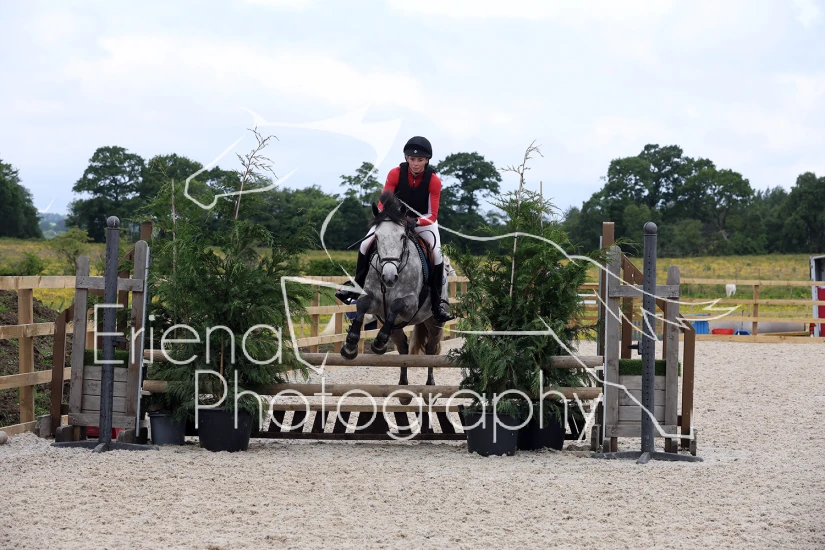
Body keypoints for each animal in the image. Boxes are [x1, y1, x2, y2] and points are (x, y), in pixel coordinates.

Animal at [340, 192, 446, 388]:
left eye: (403, 237)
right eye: (377, 237)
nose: (389, 277)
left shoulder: (411, 305)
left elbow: (396, 304)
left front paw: (378, 342)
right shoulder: (375, 302)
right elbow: (362, 304)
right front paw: (350, 345)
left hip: (435, 322)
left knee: (430, 349)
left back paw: (430, 384)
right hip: (397, 327)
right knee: (403, 346)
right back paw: (403, 385)